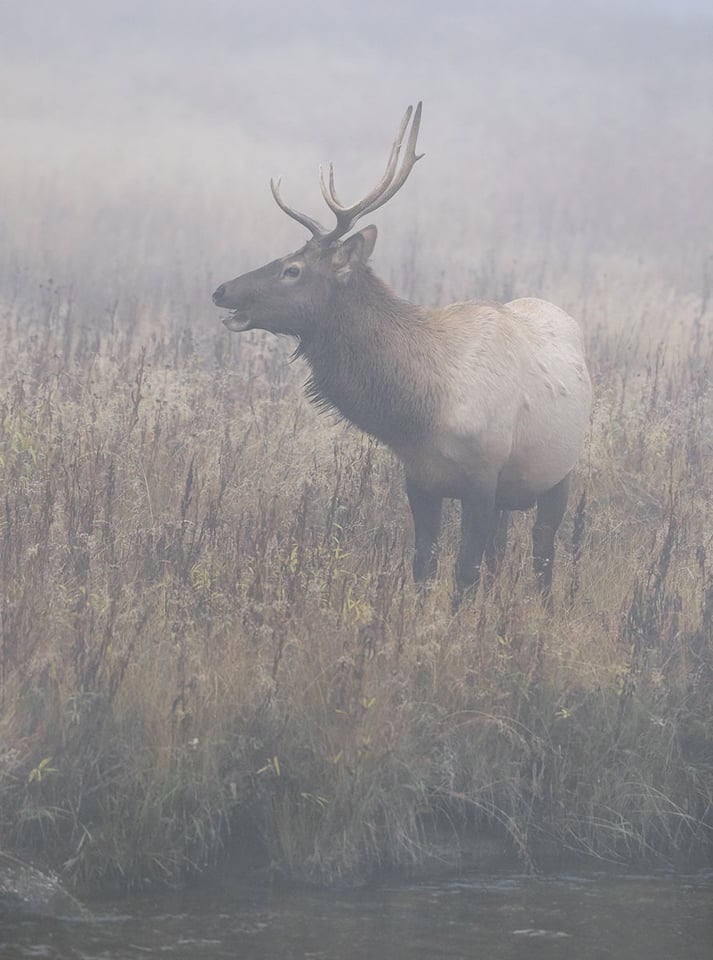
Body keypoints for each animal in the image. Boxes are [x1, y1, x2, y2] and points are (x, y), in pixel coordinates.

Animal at [211, 105, 588, 608]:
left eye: (293, 269)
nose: (221, 290)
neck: (421, 412)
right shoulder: (420, 479)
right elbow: (423, 565)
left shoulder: (482, 478)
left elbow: (463, 573)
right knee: (501, 553)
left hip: (558, 474)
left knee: (543, 555)